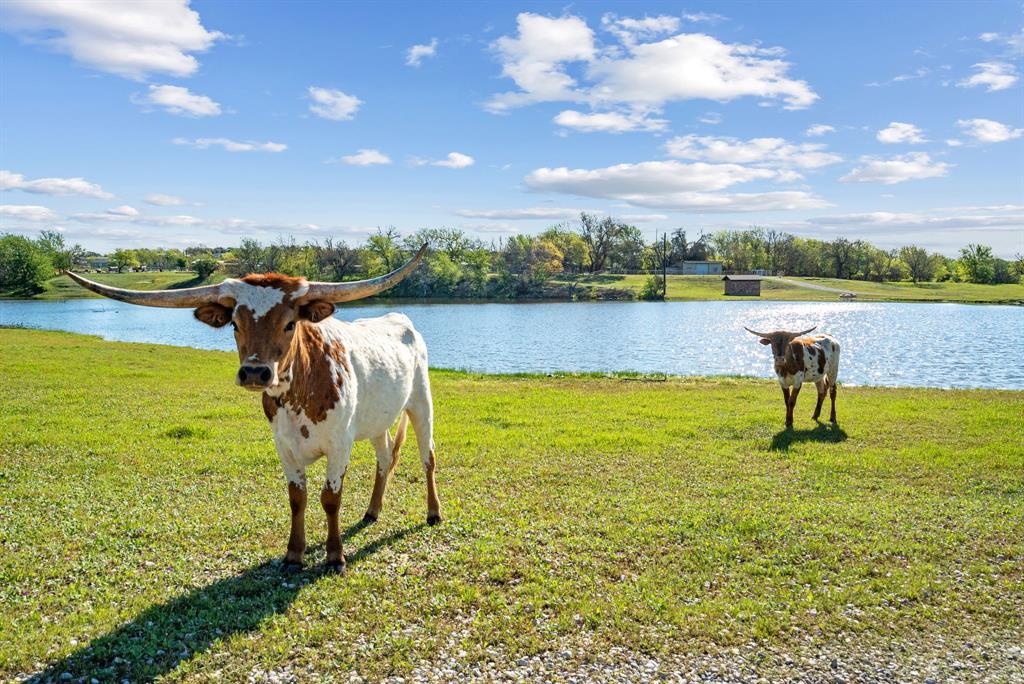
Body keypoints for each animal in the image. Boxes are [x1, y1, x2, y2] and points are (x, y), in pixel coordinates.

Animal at [66, 248, 438, 573]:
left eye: (290, 323)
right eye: (235, 324)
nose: (256, 372)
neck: (299, 393)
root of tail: (398, 318)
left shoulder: (339, 444)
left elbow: (330, 498)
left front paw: (335, 557)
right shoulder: (284, 445)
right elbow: (297, 498)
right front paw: (293, 555)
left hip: (421, 402)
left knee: (427, 457)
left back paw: (434, 513)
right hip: (377, 420)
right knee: (385, 458)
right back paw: (373, 511)